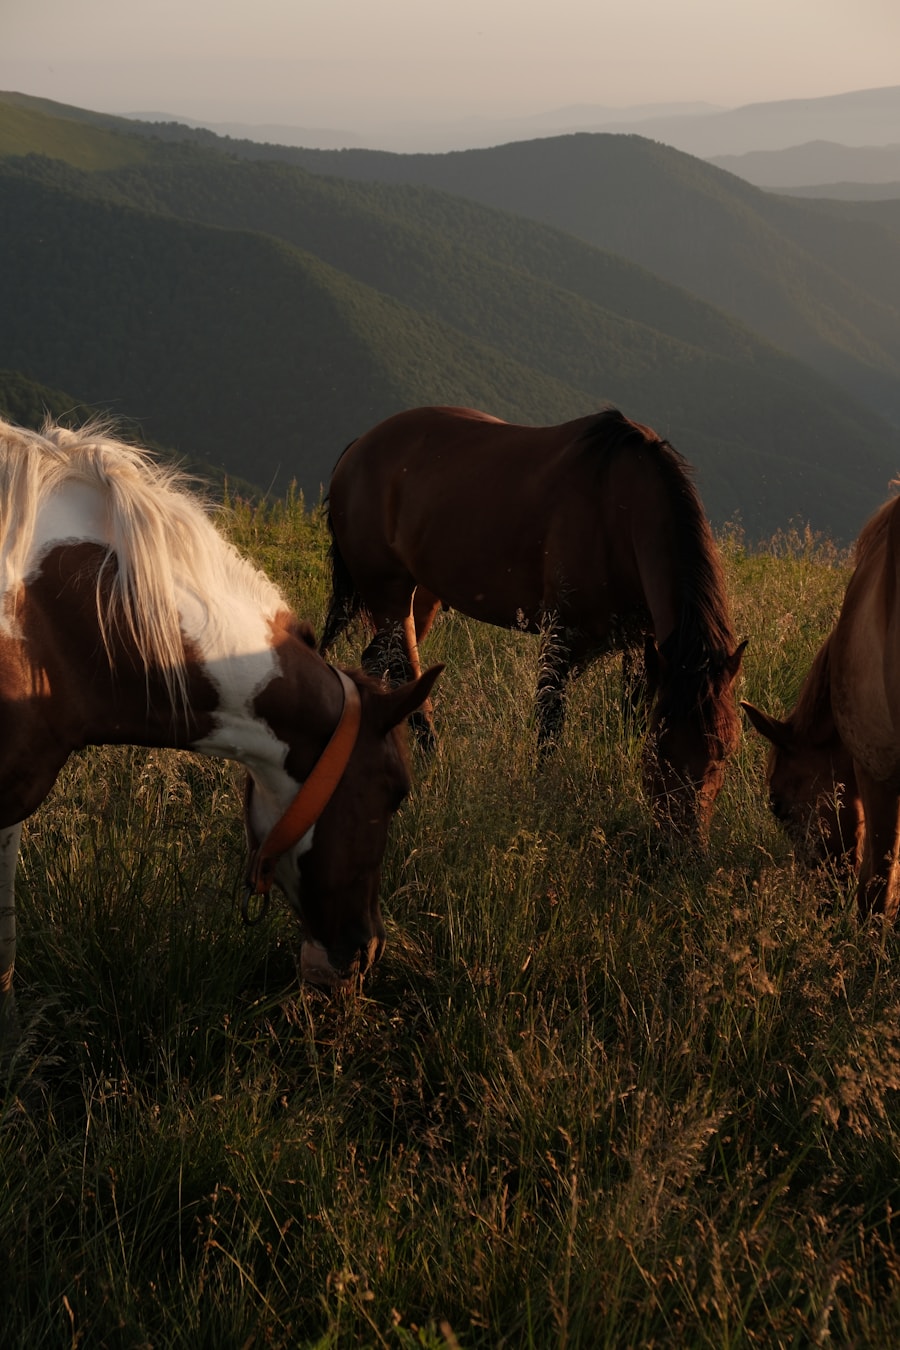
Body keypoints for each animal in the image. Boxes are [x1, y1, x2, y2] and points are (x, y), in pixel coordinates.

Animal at [319, 405, 745, 842]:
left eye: (725, 750)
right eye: (663, 751)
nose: (684, 842)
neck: (618, 512)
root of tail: (358, 447)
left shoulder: (642, 649)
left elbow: (632, 716)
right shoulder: (561, 638)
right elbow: (549, 724)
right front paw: (541, 796)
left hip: (419, 596)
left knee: (392, 662)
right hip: (389, 594)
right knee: (393, 662)